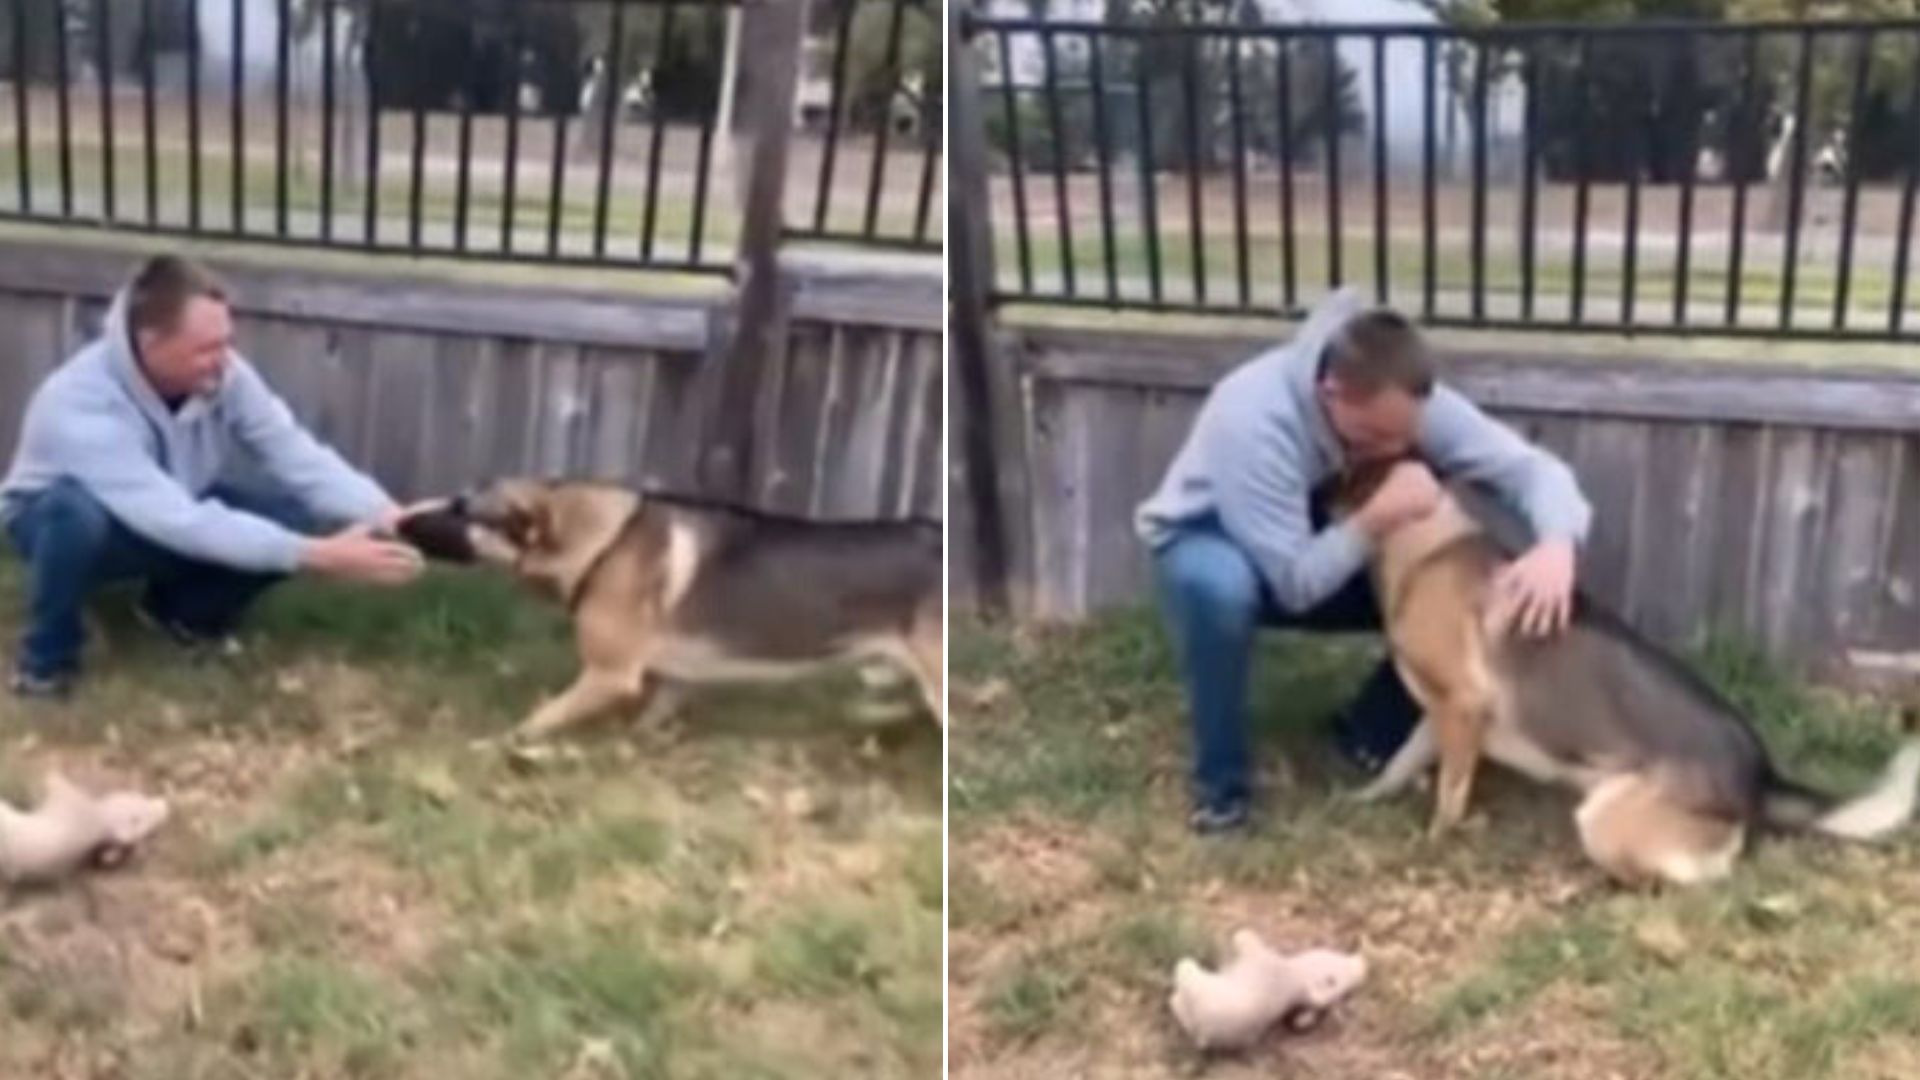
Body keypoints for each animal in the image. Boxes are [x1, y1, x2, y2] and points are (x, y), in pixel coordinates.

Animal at [397, 478, 944, 737]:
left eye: (462, 511)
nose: (400, 520)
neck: (601, 542)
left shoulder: (609, 676)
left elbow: (541, 717)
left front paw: (502, 743)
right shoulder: (674, 678)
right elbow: (654, 714)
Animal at [1336, 457, 1920, 887]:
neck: (1424, 545)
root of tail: (1759, 774)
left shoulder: (1462, 707)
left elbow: (1450, 795)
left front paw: (1435, 842)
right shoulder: (1442, 715)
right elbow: (1401, 762)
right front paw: (1367, 799)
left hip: (1605, 818)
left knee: (1686, 877)